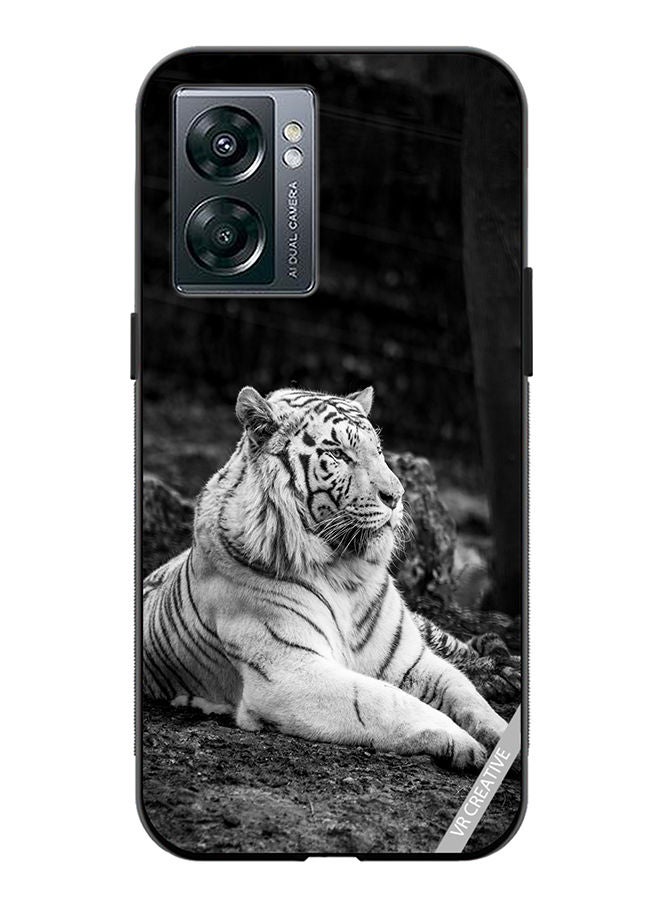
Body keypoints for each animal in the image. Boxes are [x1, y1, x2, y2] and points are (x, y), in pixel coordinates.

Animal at [142, 385, 508, 771]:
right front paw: (463, 742)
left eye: (379, 451)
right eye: (339, 454)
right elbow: (383, 699)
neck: (346, 572)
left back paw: (503, 672)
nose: (396, 497)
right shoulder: (289, 671)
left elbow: (464, 691)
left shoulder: (409, 659)